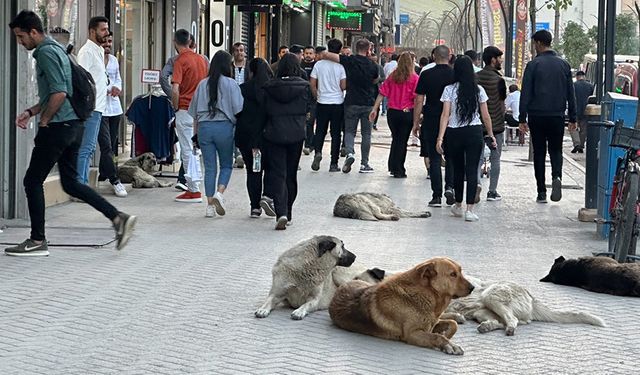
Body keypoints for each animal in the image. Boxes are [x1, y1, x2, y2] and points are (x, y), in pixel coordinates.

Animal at [255, 235, 384, 320]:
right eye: (342, 246)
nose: (355, 256)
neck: (305, 267)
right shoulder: (277, 293)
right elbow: (269, 300)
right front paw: (263, 309)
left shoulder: (314, 299)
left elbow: (306, 304)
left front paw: (299, 311)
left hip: (341, 277)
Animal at [330, 258, 476, 356]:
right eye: (453, 274)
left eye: (460, 272)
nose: (473, 288)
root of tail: (344, 284)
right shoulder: (412, 334)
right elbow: (437, 336)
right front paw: (447, 343)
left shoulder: (431, 322)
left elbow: (452, 325)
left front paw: (447, 334)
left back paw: (457, 316)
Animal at [442, 278, 608, 336]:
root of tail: (531, 298)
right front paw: (457, 317)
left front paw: (456, 317)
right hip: (482, 312)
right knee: (501, 322)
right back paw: (487, 327)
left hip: (490, 296)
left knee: (511, 320)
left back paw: (508, 329)